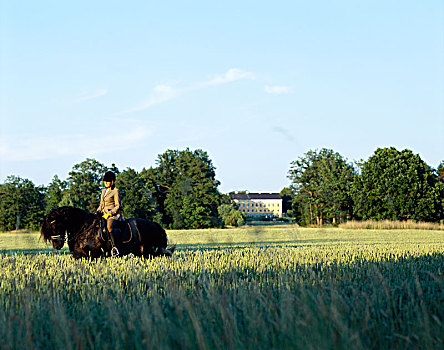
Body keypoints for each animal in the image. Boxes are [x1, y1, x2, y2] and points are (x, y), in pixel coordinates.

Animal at [40, 206, 174, 258]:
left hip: (147, 252)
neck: (84, 228)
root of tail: (154, 224)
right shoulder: (79, 255)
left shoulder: (95, 254)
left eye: (55, 225)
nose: (57, 245)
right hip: (140, 253)